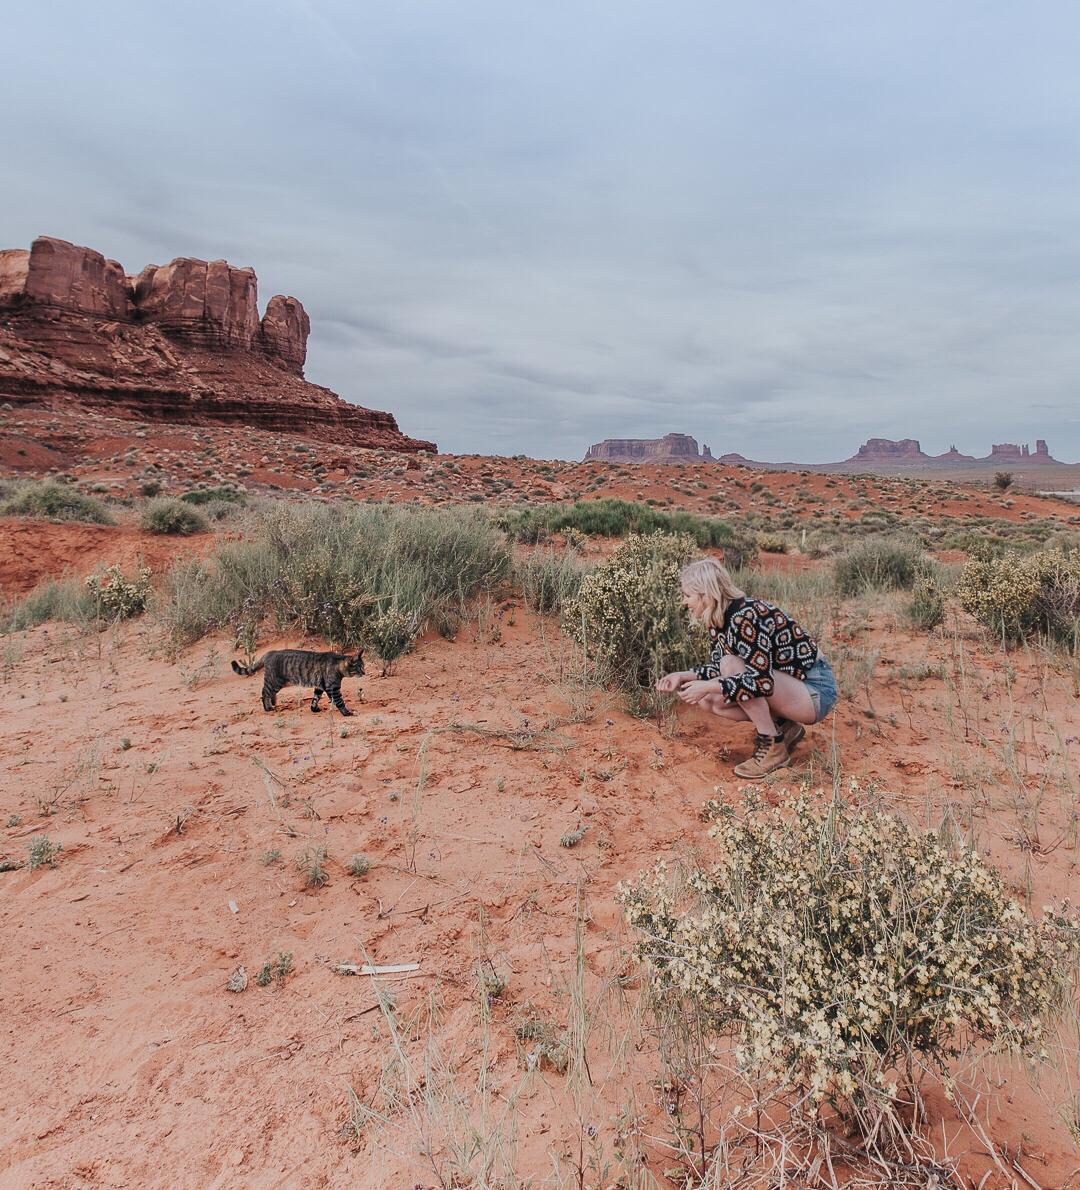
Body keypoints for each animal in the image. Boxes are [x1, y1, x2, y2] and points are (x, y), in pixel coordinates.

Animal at [229, 652, 363, 714]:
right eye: (360, 668)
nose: (365, 672)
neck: (337, 664)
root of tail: (269, 653)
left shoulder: (320, 686)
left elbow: (315, 698)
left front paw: (314, 708)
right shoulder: (333, 688)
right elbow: (340, 702)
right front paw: (347, 713)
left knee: (269, 694)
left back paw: (273, 703)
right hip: (274, 682)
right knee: (264, 693)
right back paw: (268, 707)